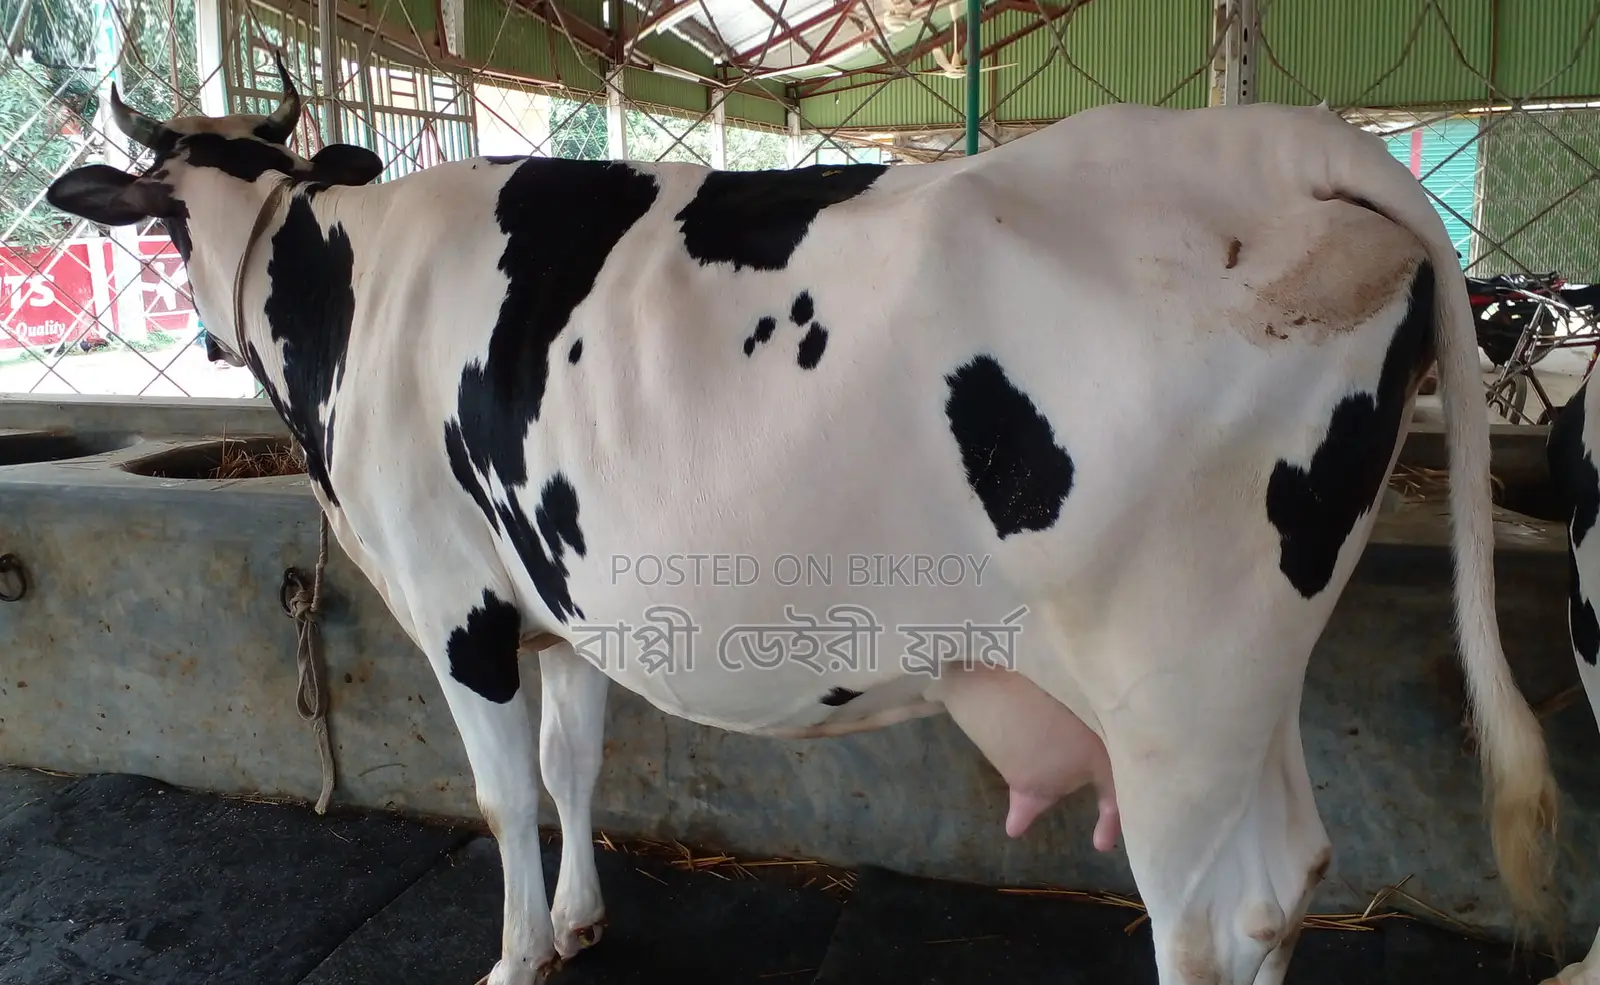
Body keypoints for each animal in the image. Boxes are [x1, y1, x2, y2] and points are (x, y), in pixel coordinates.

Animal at [46, 56, 1560, 985]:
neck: (350, 286)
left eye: (163, 221)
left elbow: (501, 793)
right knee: (1286, 871)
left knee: (1198, 916)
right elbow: (574, 765)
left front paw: (518, 949)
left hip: (1170, 690)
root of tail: (1276, 138)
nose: (199, 321)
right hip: (1255, 668)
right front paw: (583, 923)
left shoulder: (458, 601)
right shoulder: (561, 598)